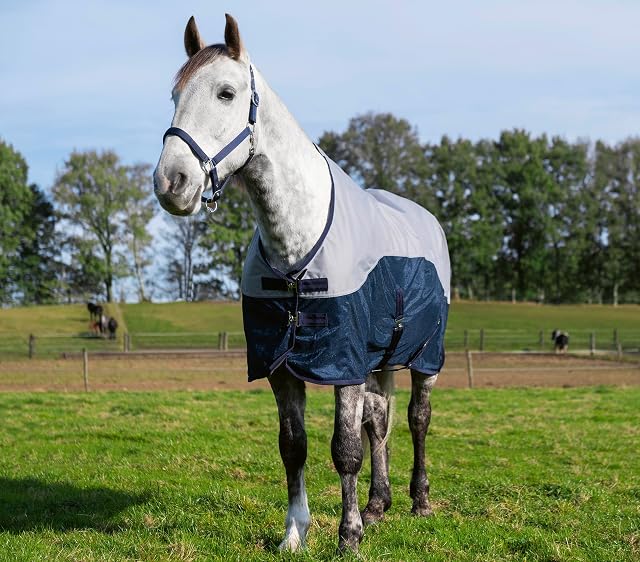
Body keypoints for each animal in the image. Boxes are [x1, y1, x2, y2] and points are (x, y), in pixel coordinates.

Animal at [154, 14, 450, 553]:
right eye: (175, 95)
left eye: (226, 93)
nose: (172, 183)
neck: (298, 240)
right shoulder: (281, 366)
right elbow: (294, 447)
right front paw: (296, 533)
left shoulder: (343, 364)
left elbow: (345, 448)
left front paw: (348, 536)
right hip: (382, 360)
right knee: (380, 421)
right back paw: (378, 505)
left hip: (425, 357)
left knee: (417, 418)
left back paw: (418, 501)